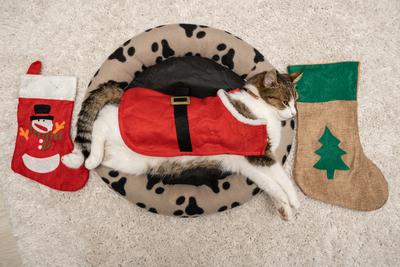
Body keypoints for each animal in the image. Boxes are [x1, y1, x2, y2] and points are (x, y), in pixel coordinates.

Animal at [61, 70, 300, 221]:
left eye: (296, 99)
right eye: (284, 101)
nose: (294, 114)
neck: (260, 107)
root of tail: (123, 94)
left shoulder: (247, 162)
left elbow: (270, 185)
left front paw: (284, 208)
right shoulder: (260, 155)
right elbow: (281, 179)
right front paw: (294, 200)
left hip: (130, 160)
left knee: (104, 151)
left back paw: (75, 159)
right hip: (121, 126)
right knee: (99, 122)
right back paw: (88, 158)